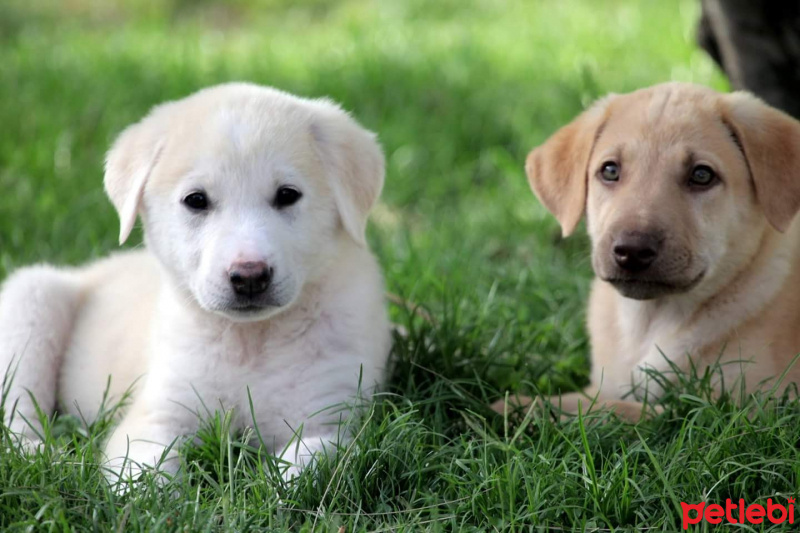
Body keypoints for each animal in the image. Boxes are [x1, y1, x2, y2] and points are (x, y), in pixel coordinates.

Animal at [0, 83, 392, 482]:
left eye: (287, 195)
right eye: (196, 200)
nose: (249, 276)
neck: (250, 343)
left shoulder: (328, 420)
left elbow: (300, 465)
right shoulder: (156, 417)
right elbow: (146, 477)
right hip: (28, 303)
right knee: (16, 413)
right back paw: (43, 455)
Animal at [494, 82, 800, 420]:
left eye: (702, 175)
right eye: (610, 171)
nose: (632, 251)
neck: (650, 323)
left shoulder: (739, 410)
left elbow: (624, 410)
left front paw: (524, 407)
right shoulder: (604, 383)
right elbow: (589, 399)